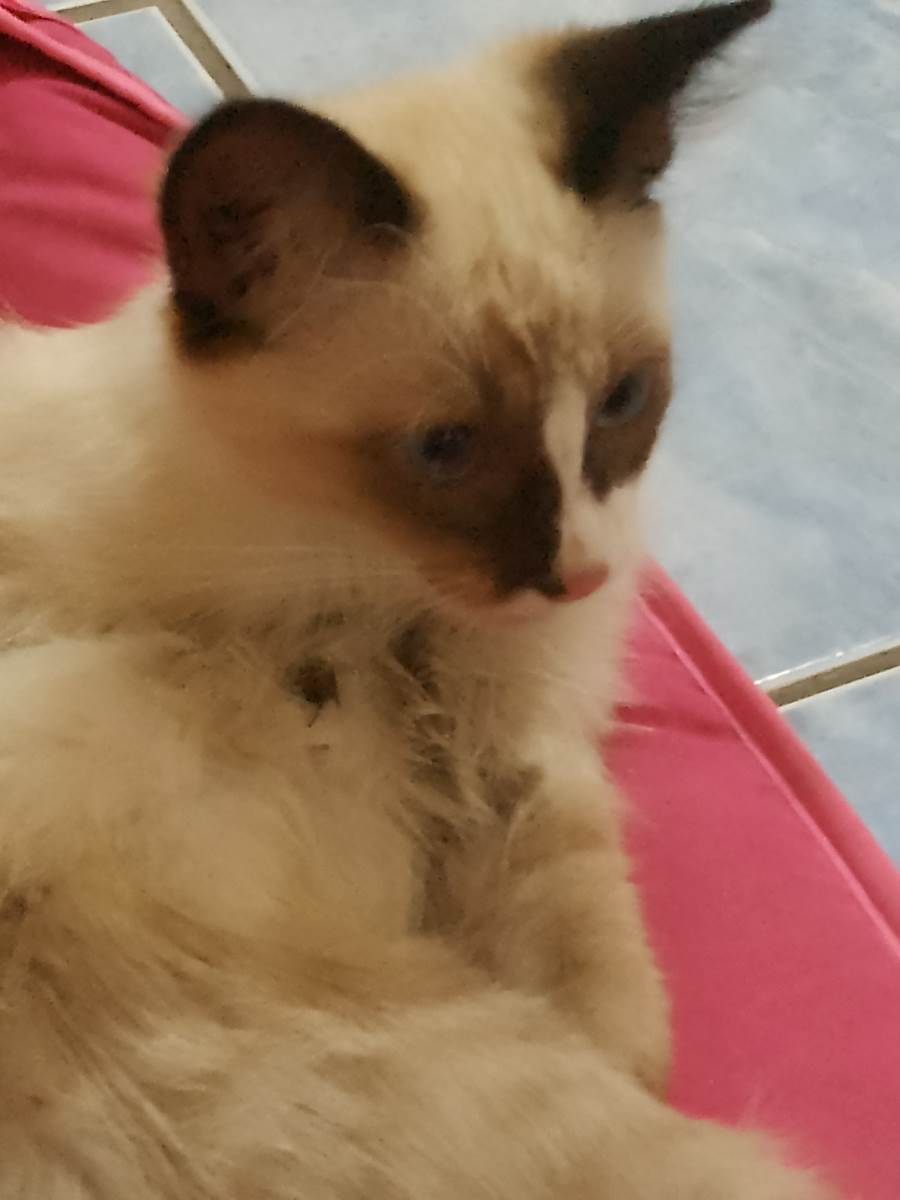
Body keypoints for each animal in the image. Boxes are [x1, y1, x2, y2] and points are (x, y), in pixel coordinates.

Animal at [0, 1, 834, 1197]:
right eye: (446, 450)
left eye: (623, 401)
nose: (577, 572)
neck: (365, 589)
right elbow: (622, 1035)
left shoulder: (524, 764)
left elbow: (607, 993)